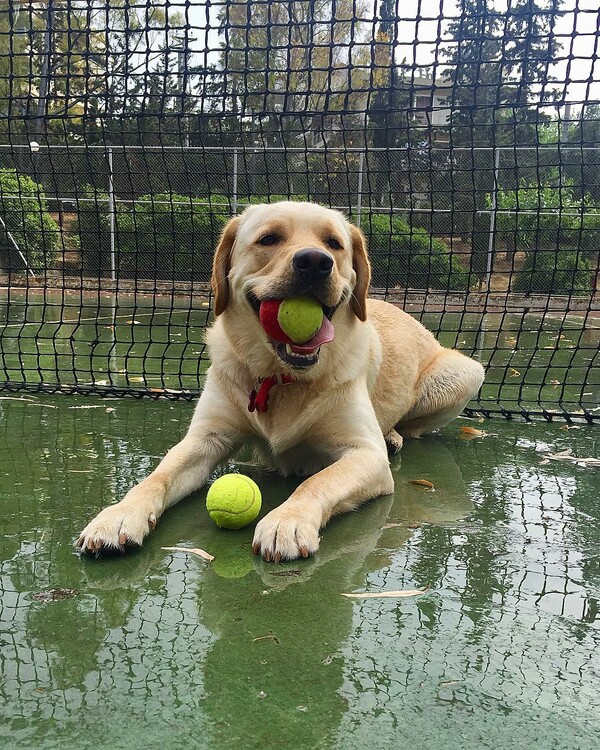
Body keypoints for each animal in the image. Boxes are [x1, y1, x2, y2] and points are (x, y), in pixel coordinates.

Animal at [77, 203, 486, 560]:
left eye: (334, 244)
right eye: (269, 239)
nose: (315, 262)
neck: (283, 377)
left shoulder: (365, 456)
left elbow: (317, 481)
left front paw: (287, 521)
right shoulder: (205, 439)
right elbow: (156, 476)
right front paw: (119, 515)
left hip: (465, 373)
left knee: (413, 427)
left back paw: (394, 435)